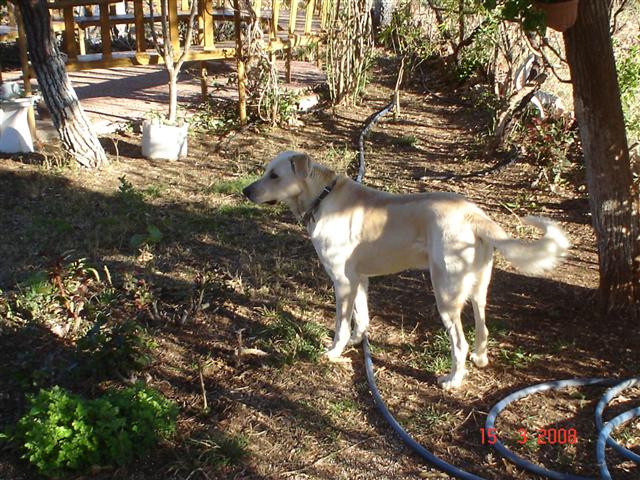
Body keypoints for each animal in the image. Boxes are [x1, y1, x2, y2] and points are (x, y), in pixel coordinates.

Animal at [241, 152, 568, 388]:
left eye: (274, 175)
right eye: (266, 171)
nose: (245, 191)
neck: (321, 196)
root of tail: (474, 214)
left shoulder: (342, 282)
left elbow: (341, 326)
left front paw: (334, 353)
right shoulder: (359, 280)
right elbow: (361, 316)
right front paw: (359, 341)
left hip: (446, 295)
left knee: (458, 344)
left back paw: (453, 381)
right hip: (478, 290)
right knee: (483, 327)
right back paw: (480, 358)